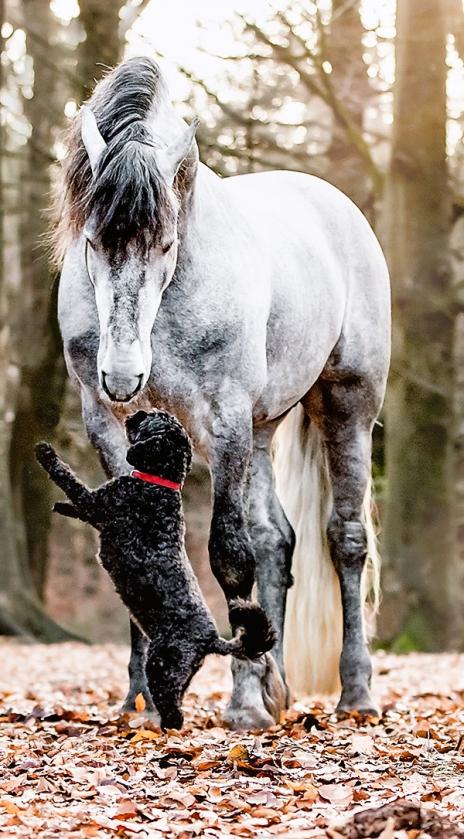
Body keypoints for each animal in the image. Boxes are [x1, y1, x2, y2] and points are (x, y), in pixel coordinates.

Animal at [37, 410, 276, 732]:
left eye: (153, 418)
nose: (134, 413)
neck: (159, 484)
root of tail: (211, 641)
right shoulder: (99, 509)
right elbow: (77, 501)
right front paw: (62, 506)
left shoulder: (101, 504)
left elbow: (71, 481)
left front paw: (46, 454)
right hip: (180, 676)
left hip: (161, 666)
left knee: (175, 713)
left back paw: (159, 731)